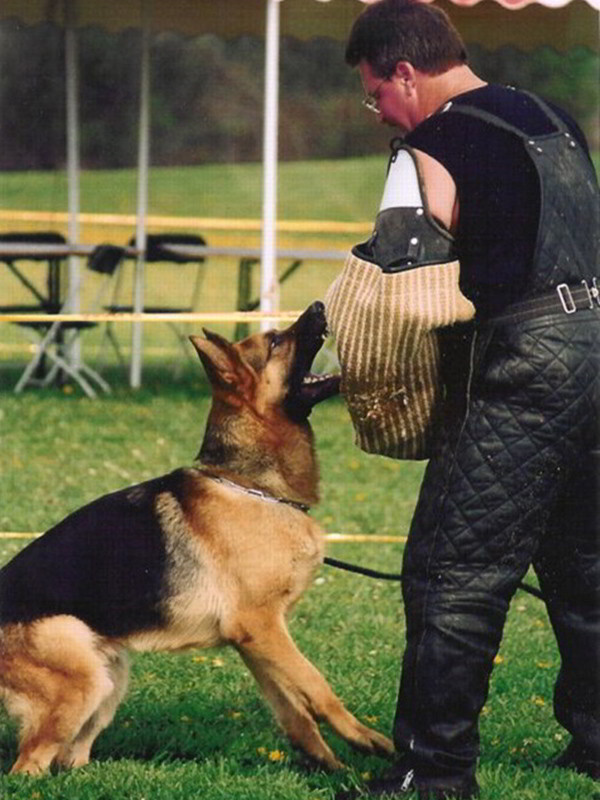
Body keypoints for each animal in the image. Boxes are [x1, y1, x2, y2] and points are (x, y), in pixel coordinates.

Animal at [0, 302, 394, 776]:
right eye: (276, 341)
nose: (319, 306)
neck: (248, 485)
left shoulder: (255, 639)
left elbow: (292, 708)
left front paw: (329, 765)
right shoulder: (262, 626)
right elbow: (315, 685)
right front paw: (363, 739)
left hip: (109, 677)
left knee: (67, 757)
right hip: (82, 678)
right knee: (28, 768)